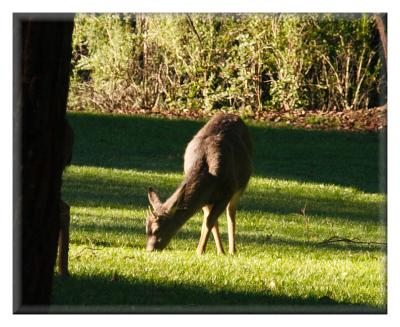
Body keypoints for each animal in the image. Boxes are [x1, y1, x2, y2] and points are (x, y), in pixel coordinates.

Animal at [145, 113, 252, 256]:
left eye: (157, 230)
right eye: (146, 229)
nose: (150, 249)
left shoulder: (227, 191)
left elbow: (210, 221)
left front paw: (199, 251)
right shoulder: (205, 198)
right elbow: (210, 221)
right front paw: (215, 251)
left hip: (241, 183)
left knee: (231, 212)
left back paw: (232, 250)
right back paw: (222, 250)